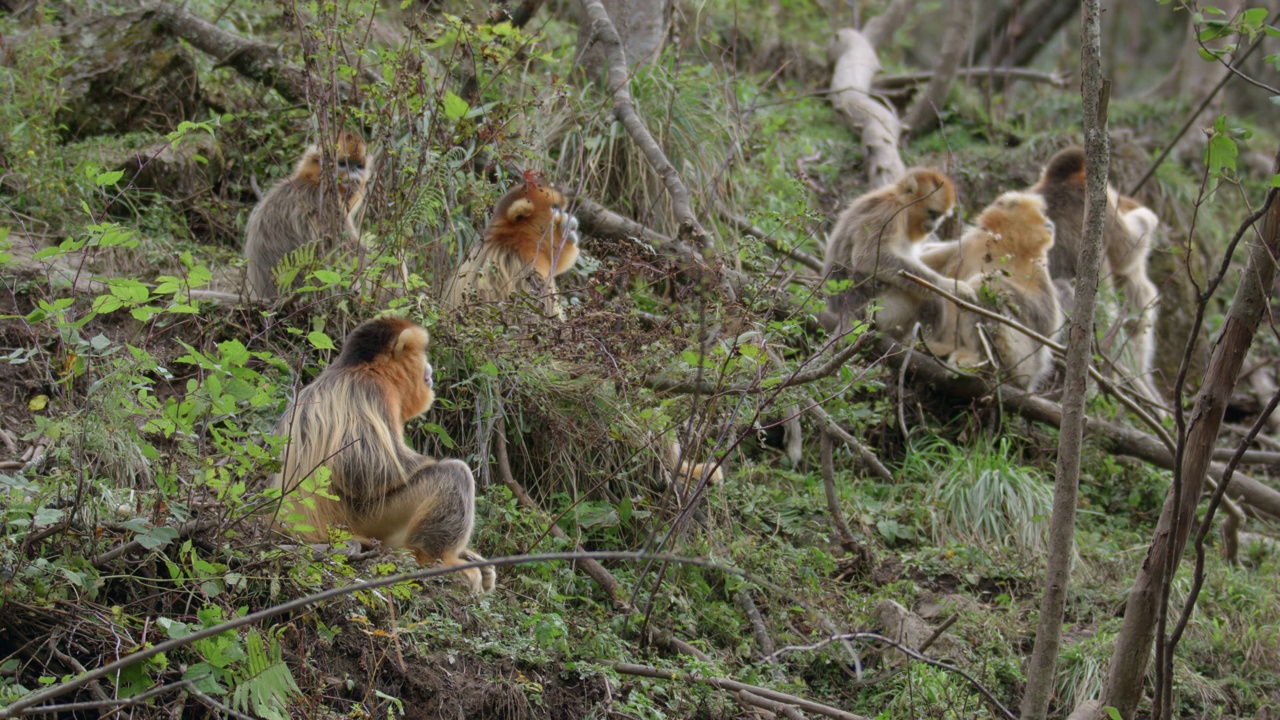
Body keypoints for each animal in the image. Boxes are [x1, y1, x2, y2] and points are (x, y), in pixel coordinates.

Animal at [243, 129, 371, 299]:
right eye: (343, 164)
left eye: (358, 166)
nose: (354, 175)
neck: (315, 181)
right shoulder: (326, 203)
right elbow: (346, 254)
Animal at [270, 316, 494, 591]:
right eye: (423, 355)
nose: (430, 370)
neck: (363, 368)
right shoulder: (369, 389)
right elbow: (360, 469)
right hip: (363, 520)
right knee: (454, 474)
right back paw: (436, 560)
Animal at [819, 166, 967, 338]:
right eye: (932, 213)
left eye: (940, 216)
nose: (935, 225)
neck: (899, 201)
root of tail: (844, 312)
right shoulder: (888, 211)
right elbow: (868, 259)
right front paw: (949, 286)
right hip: (882, 309)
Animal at [926, 188, 1064, 384]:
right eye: (1042, 212)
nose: (1049, 222)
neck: (1006, 245)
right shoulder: (970, 243)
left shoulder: (1037, 264)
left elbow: (1045, 323)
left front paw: (982, 281)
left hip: (1023, 361)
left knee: (985, 298)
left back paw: (976, 359)